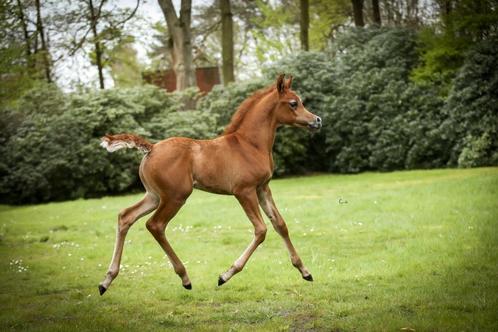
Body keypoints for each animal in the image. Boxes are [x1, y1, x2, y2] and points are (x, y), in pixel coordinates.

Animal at [98, 74, 322, 294]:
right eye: (293, 103)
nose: (317, 120)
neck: (249, 145)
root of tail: (151, 148)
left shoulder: (263, 188)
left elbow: (280, 225)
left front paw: (305, 271)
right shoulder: (244, 191)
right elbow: (261, 230)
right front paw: (225, 275)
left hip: (154, 196)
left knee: (126, 217)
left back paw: (106, 280)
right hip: (175, 197)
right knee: (155, 225)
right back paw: (184, 278)